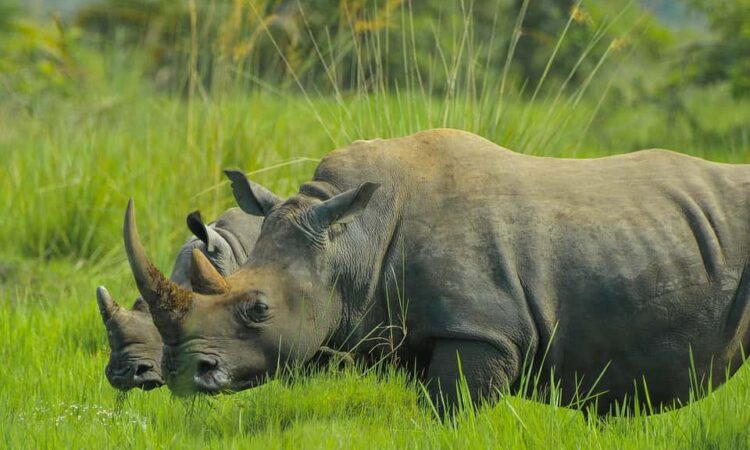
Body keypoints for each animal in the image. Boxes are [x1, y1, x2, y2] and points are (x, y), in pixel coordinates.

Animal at [122, 129, 750, 415]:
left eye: (258, 310)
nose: (182, 374)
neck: (352, 239)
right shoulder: (404, 328)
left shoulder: (481, 331)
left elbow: (453, 410)